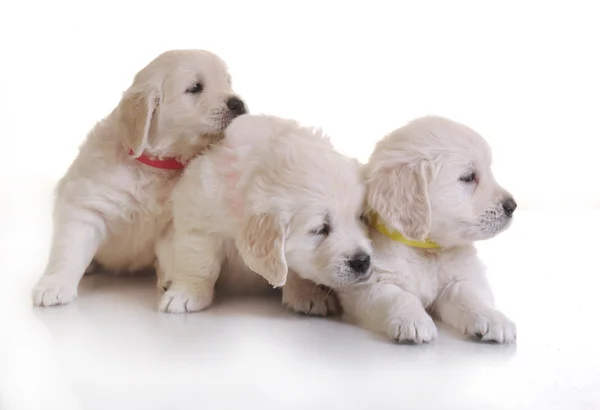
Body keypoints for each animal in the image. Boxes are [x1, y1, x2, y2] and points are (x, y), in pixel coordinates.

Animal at [32, 49, 246, 306]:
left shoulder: (174, 221)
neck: (155, 166)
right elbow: (69, 249)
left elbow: (174, 252)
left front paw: (174, 283)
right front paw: (54, 286)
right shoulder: (84, 206)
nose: (239, 104)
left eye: (228, 83)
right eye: (195, 87)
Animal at [157, 113, 372, 316]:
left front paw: (308, 294)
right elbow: (199, 264)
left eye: (361, 218)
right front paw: (186, 295)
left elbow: (295, 269)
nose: (363, 261)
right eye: (320, 229)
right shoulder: (199, 218)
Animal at [338, 115, 516, 342]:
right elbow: (398, 296)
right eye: (468, 176)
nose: (512, 206)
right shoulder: (366, 284)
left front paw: (493, 317)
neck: (426, 250)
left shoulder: (460, 278)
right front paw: (413, 320)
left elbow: (469, 294)